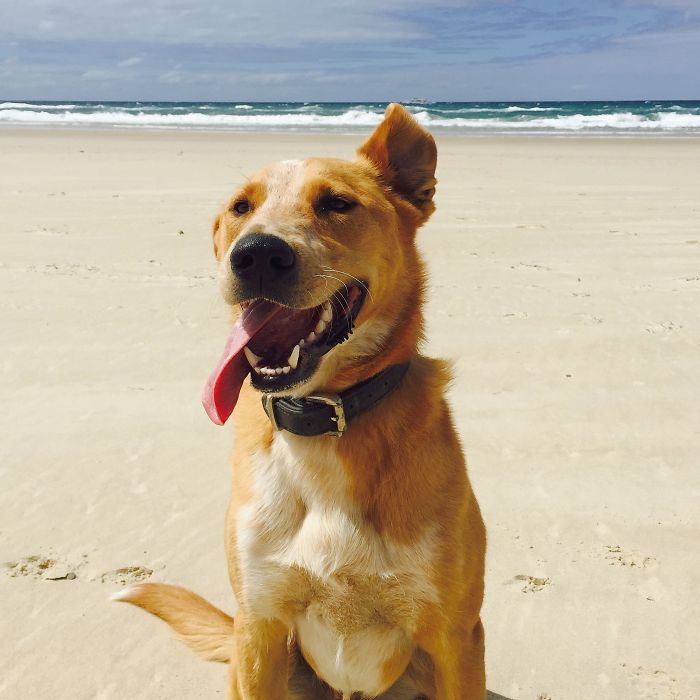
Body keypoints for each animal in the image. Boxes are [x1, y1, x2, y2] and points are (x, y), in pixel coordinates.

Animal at [115, 104, 486, 700]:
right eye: (240, 208)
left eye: (337, 203)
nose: (257, 255)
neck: (324, 422)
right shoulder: (260, 626)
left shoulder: (456, 637)